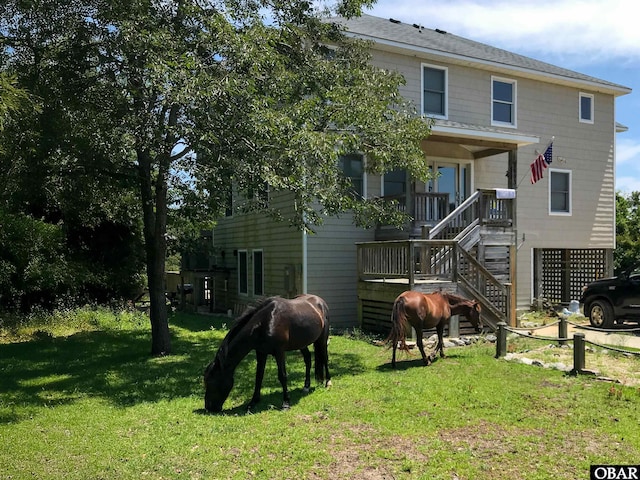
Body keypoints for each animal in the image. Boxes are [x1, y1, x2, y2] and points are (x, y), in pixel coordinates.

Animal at [202, 294, 330, 410]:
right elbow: (259, 376)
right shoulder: (261, 352)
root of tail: (320, 301)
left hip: (322, 339)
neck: (265, 322)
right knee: (308, 359)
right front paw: (253, 402)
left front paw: (286, 403)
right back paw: (306, 387)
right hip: (302, 343)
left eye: (211, 382)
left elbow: (282, 376)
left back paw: (328, 383)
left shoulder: (279, 352)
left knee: (324, 358)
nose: (209, 407)